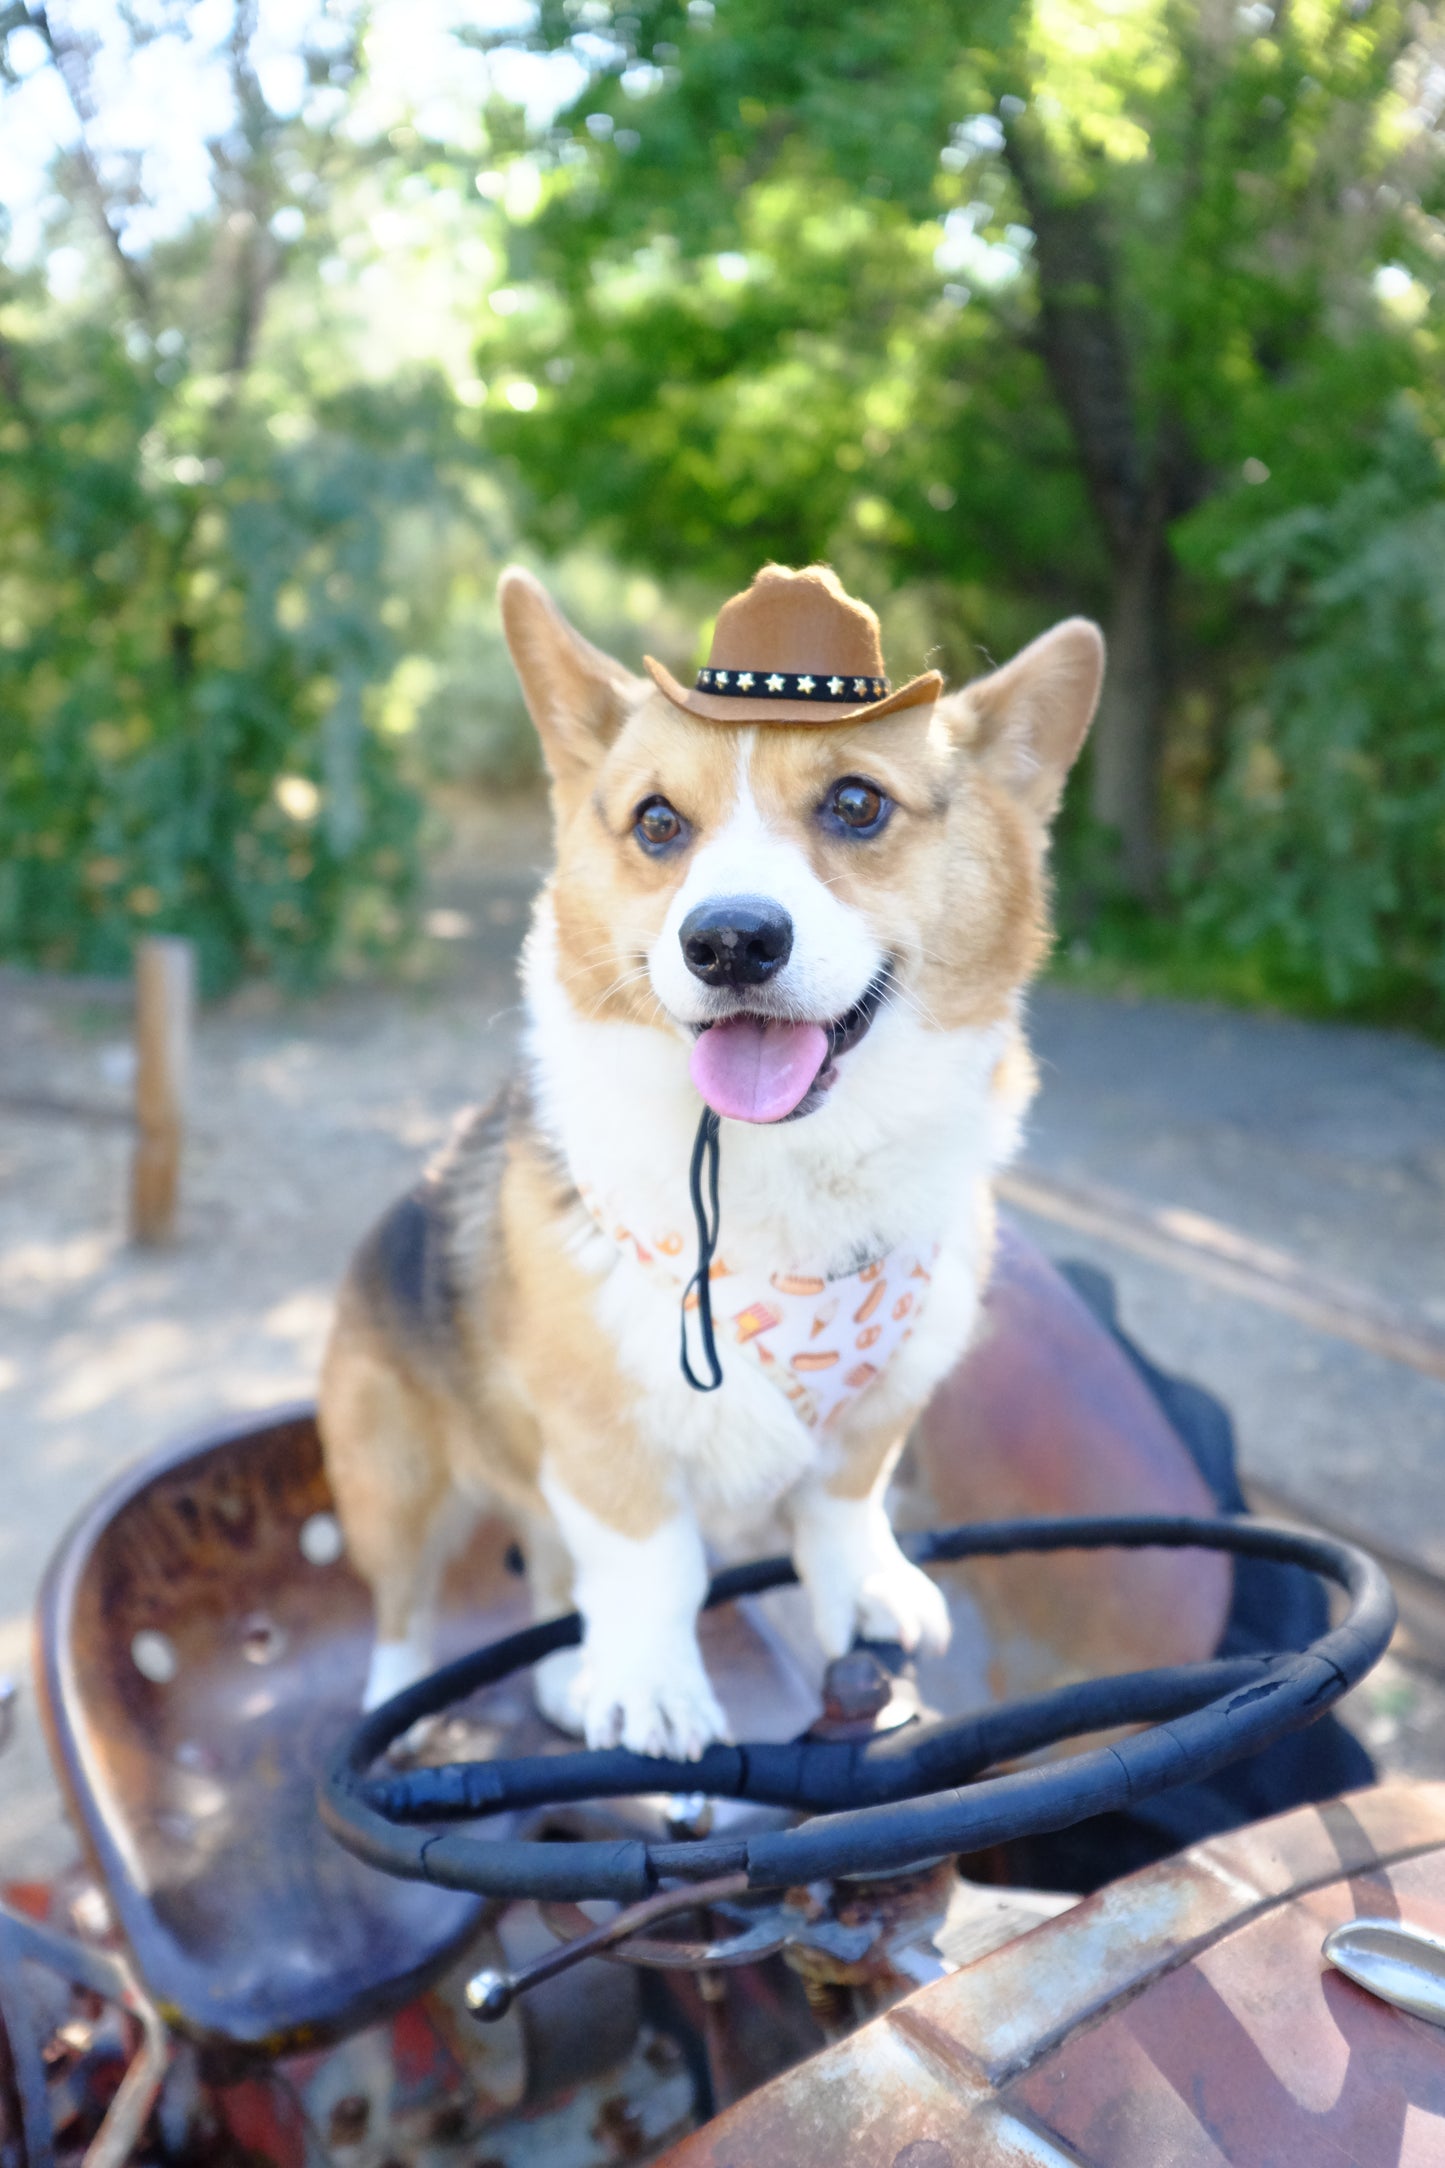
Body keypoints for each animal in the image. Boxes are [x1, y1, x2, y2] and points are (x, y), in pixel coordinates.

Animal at [318, 563, 1109, 1760]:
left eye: (856, 803)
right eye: (656, 821)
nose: (728, 940)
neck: (781, 1171)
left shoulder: (877, 1416)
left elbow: (842, 1502)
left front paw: (864, 1589)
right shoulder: (602, 1441)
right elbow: (650, 1563)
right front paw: (650, 1688)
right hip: (391, 1475)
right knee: (407, 1609)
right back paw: (403, 1710)